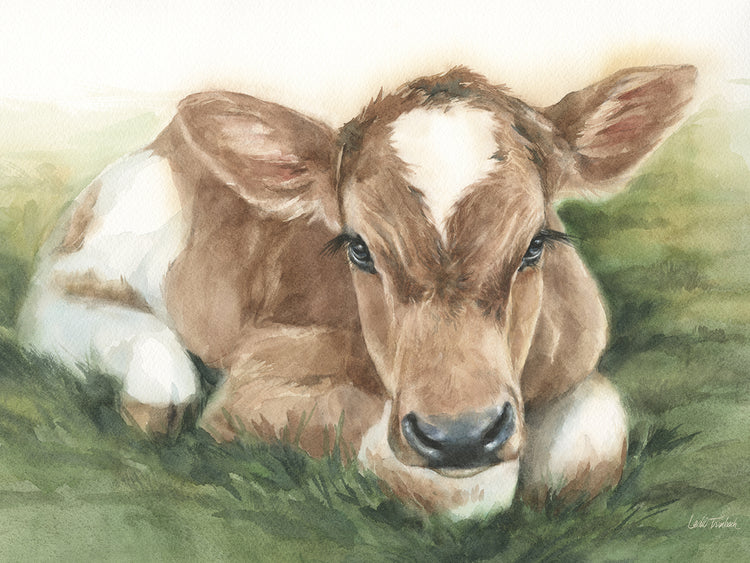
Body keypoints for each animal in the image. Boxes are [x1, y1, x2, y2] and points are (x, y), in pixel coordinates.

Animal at [17, 65, 696, 518]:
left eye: (536, 243)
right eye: (358, 249)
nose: (460, 435)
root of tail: (168, 140)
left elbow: (594, 446)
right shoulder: (258, 382)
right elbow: (450, 489)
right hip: (94, 250)